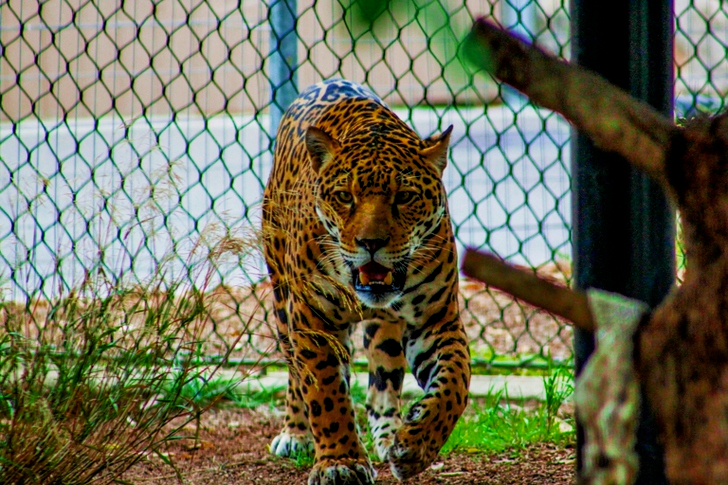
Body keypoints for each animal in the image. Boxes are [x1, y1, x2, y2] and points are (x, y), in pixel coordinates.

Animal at [262, 79, 471, 485]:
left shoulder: (436, 320)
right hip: (282, 300)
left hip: (385, 330)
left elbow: (456, 381)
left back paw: (389, 435)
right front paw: (339, 461)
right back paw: (296, 434)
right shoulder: (312, 319)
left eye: (404, 196)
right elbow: (325, 393)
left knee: (382, 382)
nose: (371, 243)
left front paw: (416, 443)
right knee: (296, 373)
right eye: (345, 197)